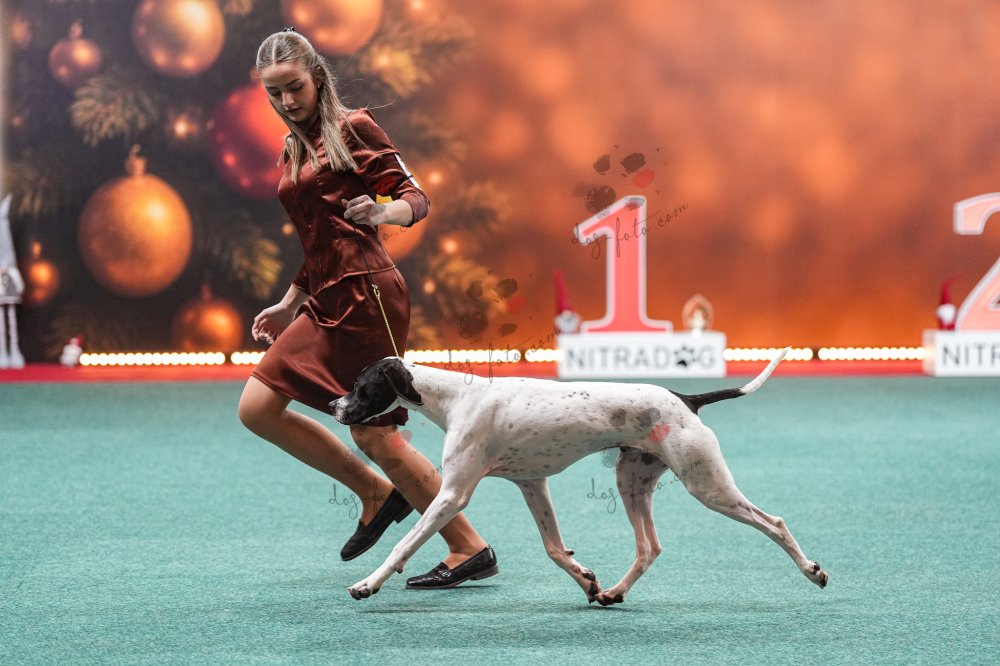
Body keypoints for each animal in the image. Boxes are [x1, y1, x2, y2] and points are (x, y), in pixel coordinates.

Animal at [330, 349, 828, 604]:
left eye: (360, 386)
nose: (335, 405)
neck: (456, 399)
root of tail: (686, 399)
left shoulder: (453, 495)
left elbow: (403, 545)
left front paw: (367, 584)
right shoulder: (532, 485)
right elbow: (554, 549)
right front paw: (586, 580)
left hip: (707, 486)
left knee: (774, 523)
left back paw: (812, 572)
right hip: (633, 482)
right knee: (649, 547)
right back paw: (613, 592)